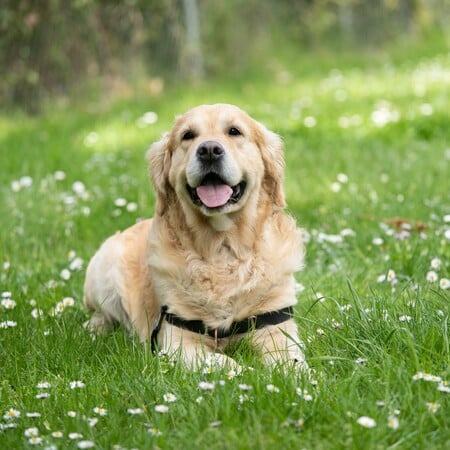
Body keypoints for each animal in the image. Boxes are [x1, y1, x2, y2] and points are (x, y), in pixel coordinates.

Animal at [84, 103, 308, 370]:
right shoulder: (178, 342)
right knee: (101, 314)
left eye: (234, 131)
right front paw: (247, 373)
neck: (222, 247)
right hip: (103, 268)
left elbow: (292, 362)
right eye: (188, 135)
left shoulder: (276, 327)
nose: (209, 150)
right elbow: (225, 363)